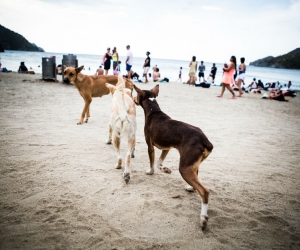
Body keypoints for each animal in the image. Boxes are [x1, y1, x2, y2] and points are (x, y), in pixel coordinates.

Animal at [134, 85, 213, 229]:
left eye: (136, 95)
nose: (132, 98)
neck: (154, 110)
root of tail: (205, 140)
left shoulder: (150, 145)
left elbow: (152, 162)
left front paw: (150, 171)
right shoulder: (166, 148)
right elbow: (159, 162)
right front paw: (164, 169)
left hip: (184, 168)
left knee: (204, 191)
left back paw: (203, 218)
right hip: (193, 165)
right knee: (197, 183)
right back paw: (190, 188)